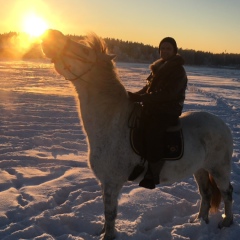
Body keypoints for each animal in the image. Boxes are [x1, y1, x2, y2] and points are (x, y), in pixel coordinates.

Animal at [40, 30, 232, 240]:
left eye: (84, 50)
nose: (51, 33)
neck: (112, 123)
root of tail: (223, 125)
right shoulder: (105, 182)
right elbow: (107, 213)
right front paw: (103, 232)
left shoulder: (112, 182)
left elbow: (110, 213)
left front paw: (108, 236)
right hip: (200, 169)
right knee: (206, 194)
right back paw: (200, 221)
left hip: (219, 168)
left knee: (227, 192)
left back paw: (226, 223)